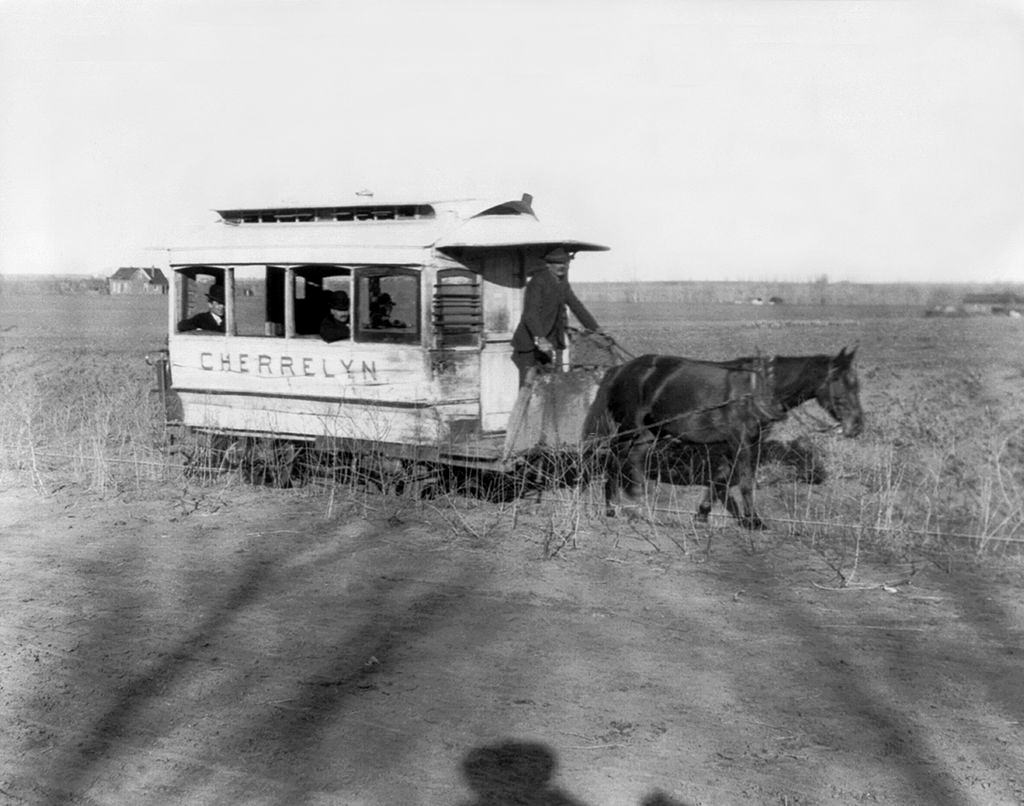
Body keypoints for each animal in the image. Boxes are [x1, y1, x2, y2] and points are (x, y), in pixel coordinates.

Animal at [585, 354, 782, 528]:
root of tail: (620, 369)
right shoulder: (742, 442)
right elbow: (745, 481)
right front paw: (755, 522)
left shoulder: (734, 445)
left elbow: (722, 477)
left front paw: (702, 515)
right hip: (630, 429)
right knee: (616, 457)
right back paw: (617, 506)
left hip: (649, 433)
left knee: (629, 458)